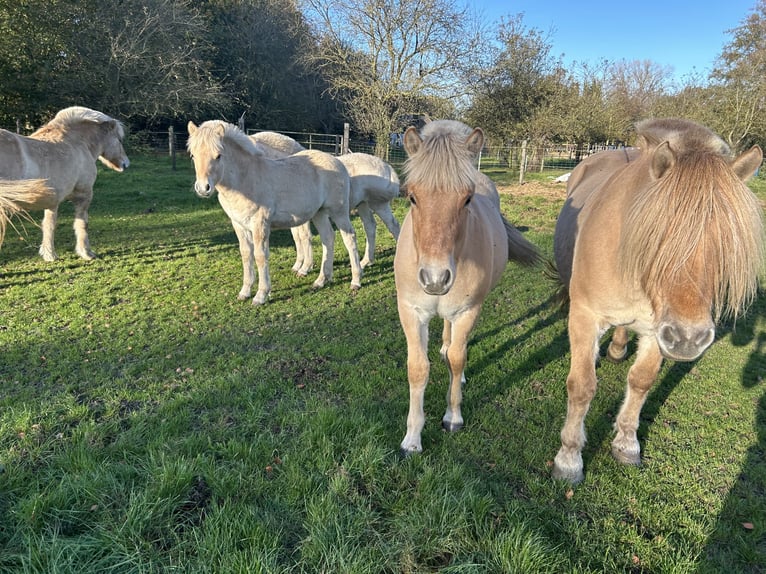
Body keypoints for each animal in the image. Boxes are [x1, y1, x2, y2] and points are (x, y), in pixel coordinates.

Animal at [0, 107, 129, 262]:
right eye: (119, 140)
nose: (126, 163)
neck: (77, 142)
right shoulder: (84, 194)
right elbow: (82, 223)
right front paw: (86, 253)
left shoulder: (52, 201)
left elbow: (49, 225)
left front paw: (50, 255)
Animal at [188, 121, 364, 306]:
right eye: (193, 155)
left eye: (218, 156)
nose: (203, 188)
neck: (245, 180)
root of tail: (338, 162)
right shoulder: (239, 225)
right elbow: (246, 254)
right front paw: (245, 292)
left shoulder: (260, 223)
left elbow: (260, 256)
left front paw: (261, 295)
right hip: (319, 213)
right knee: (328, 238)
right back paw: (321, 280)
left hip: (339, 212)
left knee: (350, 238)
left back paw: (356, 280)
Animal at [396, 120, 540, 454]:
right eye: (412, 197)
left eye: (466, 199)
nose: (435, 279)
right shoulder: (411, 312)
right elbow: (417, 368)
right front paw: (412, 438)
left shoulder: (466, 311)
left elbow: (458, 359)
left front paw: (453, 417)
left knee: (455, 349)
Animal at [556, 118, 764, 486]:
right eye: (657, 239)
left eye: (727, 244)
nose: (689, 339)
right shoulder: (585, 317)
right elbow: (581, 387)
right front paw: (569, 459)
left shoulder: (658, 330)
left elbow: (642, 381)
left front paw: (626, 443)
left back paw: (617, 349)